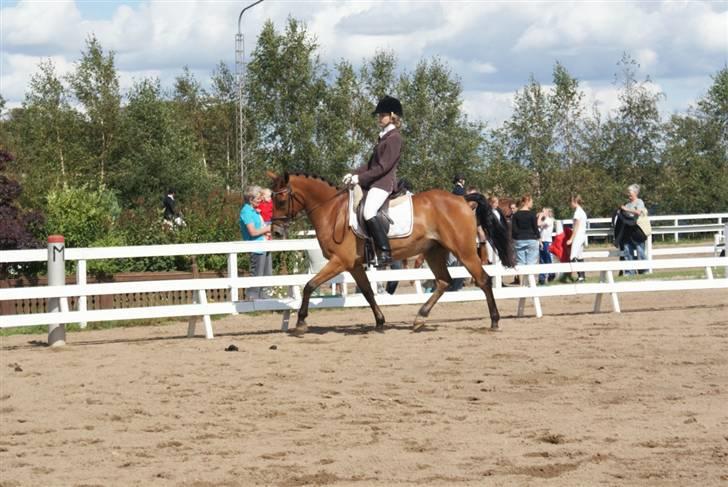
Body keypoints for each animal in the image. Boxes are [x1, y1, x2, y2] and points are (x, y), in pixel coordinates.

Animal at [270, 173, 516, 338]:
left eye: (280, 200)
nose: (276, 232)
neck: (333, 212)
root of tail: (463, 200)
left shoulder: (340, 261)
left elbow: (309, 285)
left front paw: (301, 322)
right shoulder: (353, 265)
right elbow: (368, 292)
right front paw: (380, 321)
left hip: (463, 251)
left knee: (483, 280)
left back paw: (494, 321)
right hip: (434, 251)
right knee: (444, 281)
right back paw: (419, 318)